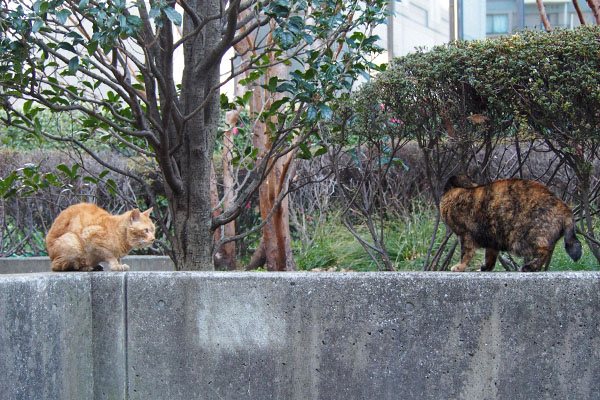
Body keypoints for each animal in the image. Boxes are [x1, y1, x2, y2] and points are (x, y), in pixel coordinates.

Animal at [440, 175, 580, 272]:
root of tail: (564, 206)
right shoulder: (493, 238)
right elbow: (490, 256)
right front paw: (485, 268)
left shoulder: (465, 234)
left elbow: (465, 253)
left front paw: (460, 267)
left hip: (525, 236)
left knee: (545, 250)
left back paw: (530, 267)